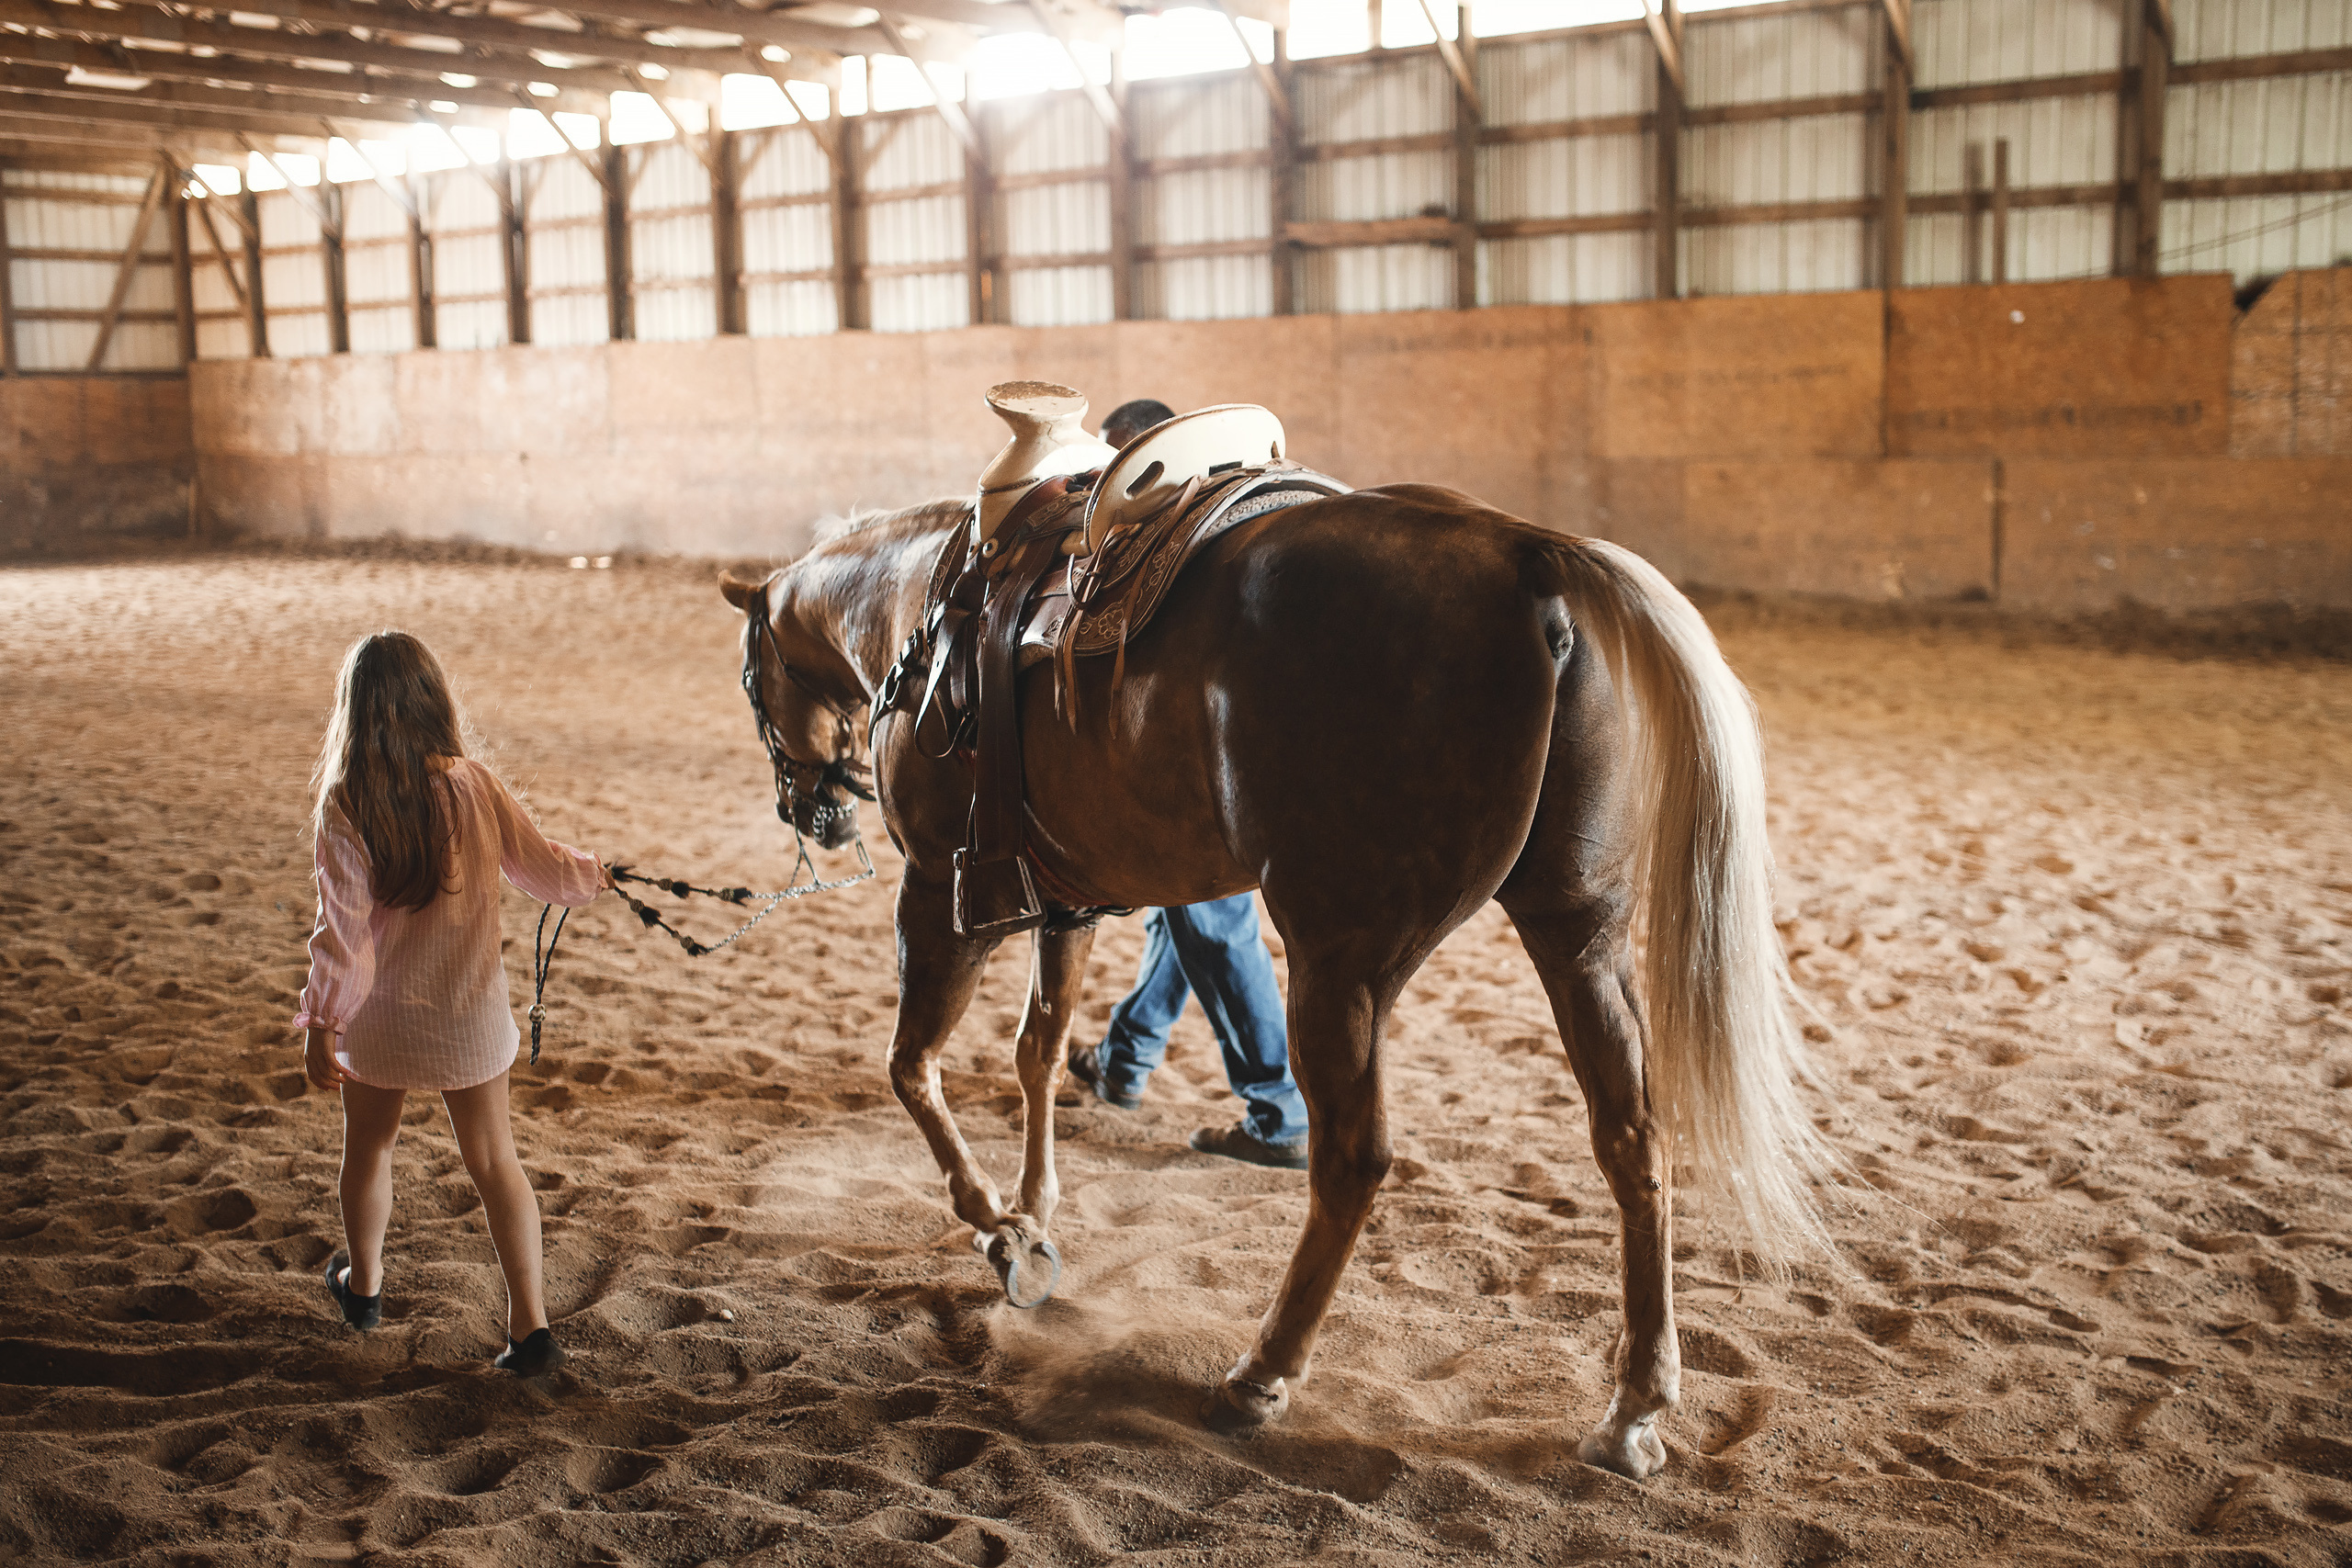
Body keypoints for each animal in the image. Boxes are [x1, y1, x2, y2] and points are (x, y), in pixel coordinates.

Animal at [719, 484, 1834, 1477]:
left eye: (751, 680)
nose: (813, 814)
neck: (925, 608)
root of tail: (1528, 552)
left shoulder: (939, 897)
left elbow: (912, 1066)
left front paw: (999, 1229)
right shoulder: (1064, 907)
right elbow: (1036, 1052)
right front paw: (1034, 1212)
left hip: (1340, 960)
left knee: (1352, 1160)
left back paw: (1259, 1374)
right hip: (1579, 936)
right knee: (1632, 1142)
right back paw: (1633, 1407)